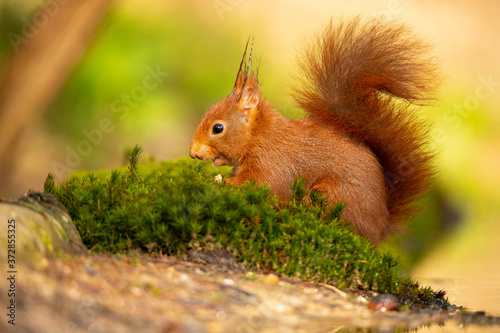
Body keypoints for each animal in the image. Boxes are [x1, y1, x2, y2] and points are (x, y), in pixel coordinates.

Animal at [189, 16, 440, 243]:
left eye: (218, 128)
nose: (192, 152)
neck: (260, 136)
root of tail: (380, 229)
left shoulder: (273, 163)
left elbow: (264, 185)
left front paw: (224, 183)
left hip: (331, 194)